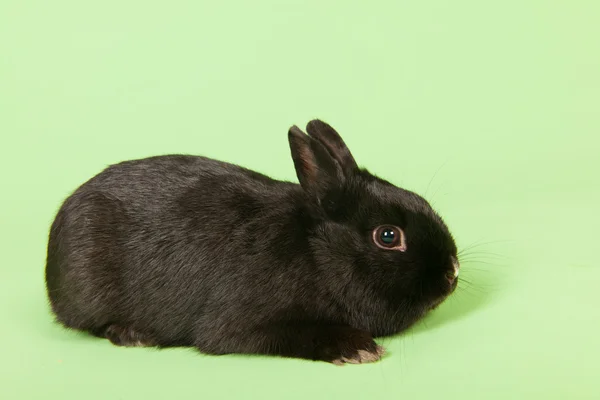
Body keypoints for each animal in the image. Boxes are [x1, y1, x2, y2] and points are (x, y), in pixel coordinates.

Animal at [45, 120, 460, 364]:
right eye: (388, 236)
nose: (453, 272)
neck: (317, 252)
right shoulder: (246, 323)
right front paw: (358, 348)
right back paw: (135, 335)